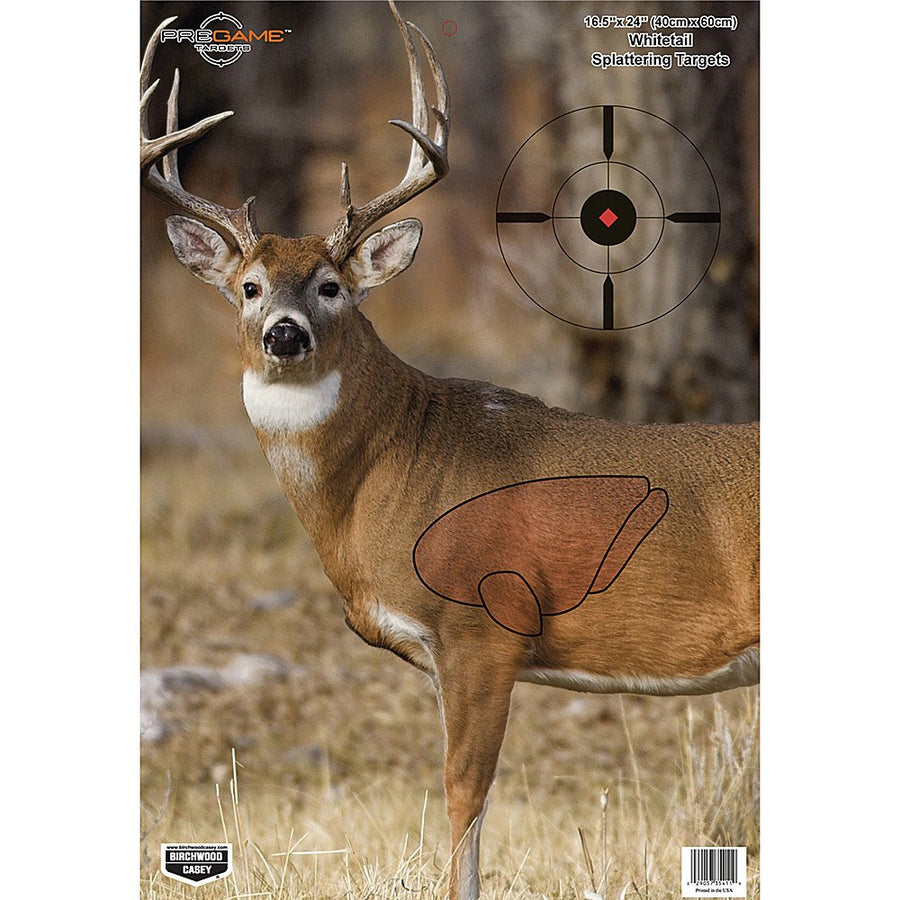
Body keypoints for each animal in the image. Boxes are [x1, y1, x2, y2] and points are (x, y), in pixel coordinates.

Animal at [140, 4, 759, 898]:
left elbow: (464, 793)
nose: (284, 334)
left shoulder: (481, 625)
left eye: (331, 286)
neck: (389, 474)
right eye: (248, 287)